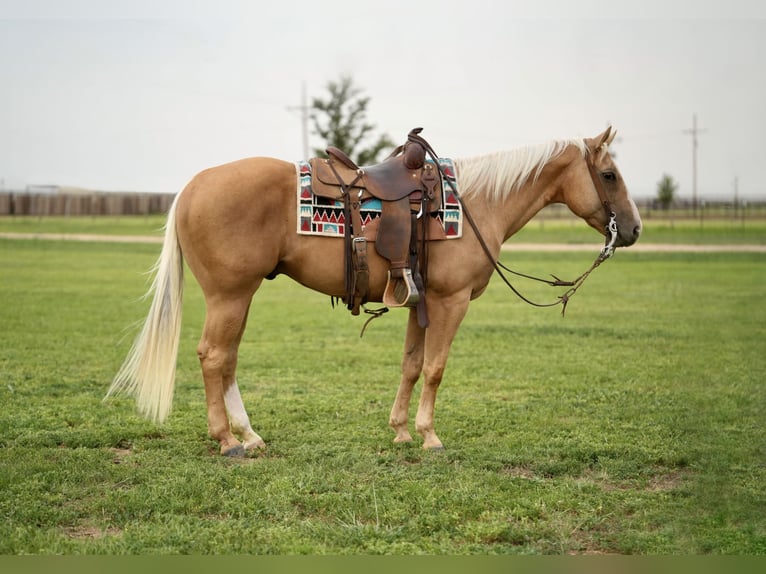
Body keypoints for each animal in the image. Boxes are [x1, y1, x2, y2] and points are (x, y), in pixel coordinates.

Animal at [109, 127, 640, 460]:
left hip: (238, 297)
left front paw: (402, 431)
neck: (476, 204)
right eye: (609, 175)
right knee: (215, 357)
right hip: (231, 294)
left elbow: (411, 365)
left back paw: (249, 435)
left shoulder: (420, 302)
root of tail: (192, 187)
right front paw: (429, 437)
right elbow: (435, 368)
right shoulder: (451, 301)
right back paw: (228, 440)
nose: (633, 229)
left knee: (227, 360)